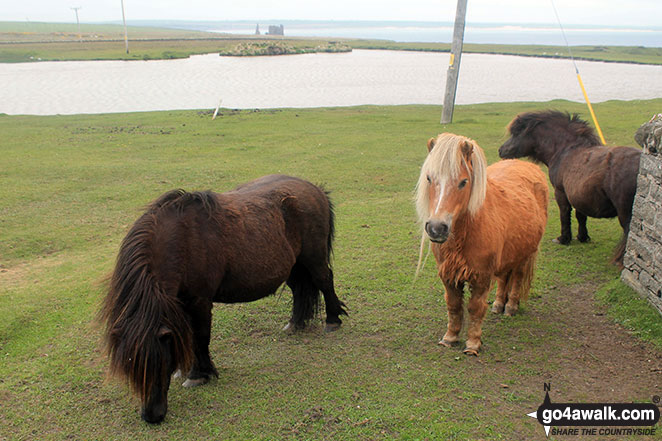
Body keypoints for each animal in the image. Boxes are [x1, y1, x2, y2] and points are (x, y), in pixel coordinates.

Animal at [100, 174, 348, 422]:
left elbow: (200, 336)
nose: (152, 415)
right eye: (129, 368)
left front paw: (198, 374)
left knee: (325, 281)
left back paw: (332, 320)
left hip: (313, 258)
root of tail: (315, 189)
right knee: (299, 289)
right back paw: (295, 324)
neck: (180, 242)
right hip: (294, 264)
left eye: (161, 364)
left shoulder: (199, 301)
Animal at [416, 133, 548, 354]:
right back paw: (498, 304)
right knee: (504, 278)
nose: (436, 228)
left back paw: (510, 307)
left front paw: (472, 344)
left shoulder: (481, 276)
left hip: (525, 254)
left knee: (517, 277)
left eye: (463, 182)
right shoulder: (448, 274)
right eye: (429, 178)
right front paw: (450, 337)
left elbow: (475, 308)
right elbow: (453, 306)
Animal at [504, 111, 644, 266]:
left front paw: (563, 239)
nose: (501, 150)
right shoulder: (578, 195)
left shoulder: (561, 192)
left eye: (516, 133)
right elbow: (580, 216)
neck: (565, 150)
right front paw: (582, 237)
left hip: (625, 213)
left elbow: (565, 214)